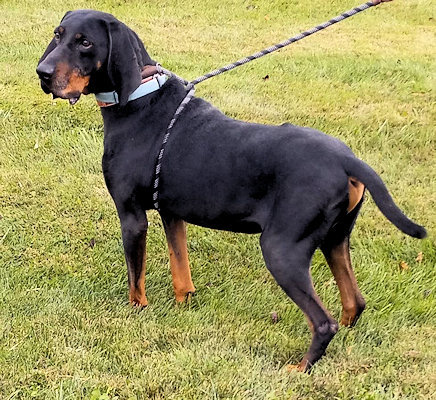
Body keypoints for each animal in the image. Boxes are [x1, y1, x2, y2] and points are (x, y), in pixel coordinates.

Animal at [36, 10, 426, 372]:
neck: (137, 99)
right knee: (354, 302)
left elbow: (136, 279)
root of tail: (348, 160)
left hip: (282, 248)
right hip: (335, 239)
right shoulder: (171, 213)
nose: (42, 73)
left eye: (86, 43)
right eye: (58, 34)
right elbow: (181, 268)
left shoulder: (132, 216)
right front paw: (185, 303)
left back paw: (300, 367)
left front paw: (137, 311)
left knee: (323, 321)